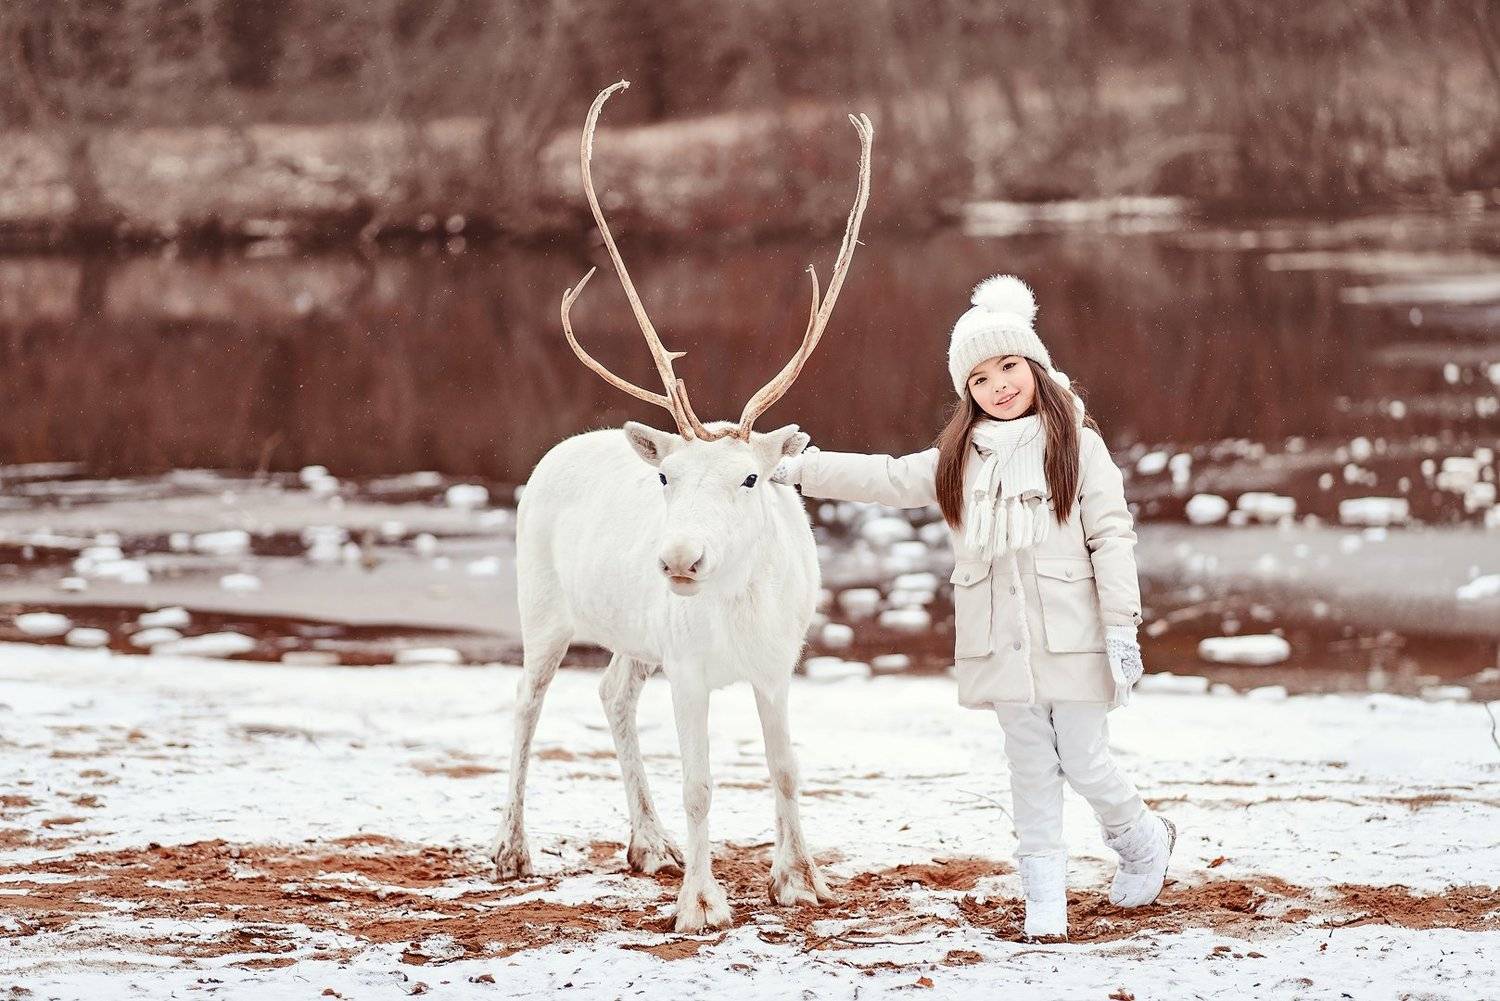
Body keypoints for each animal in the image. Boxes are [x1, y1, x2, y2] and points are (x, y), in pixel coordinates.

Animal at [490, 81, 873, 933]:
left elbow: (786, 769)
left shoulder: (777, 665)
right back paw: (512, 848)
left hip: (637, 638)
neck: (737, 608)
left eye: (751, 479)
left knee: (610, 692)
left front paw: (800, 879)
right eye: (667, 478)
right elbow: (702, 784)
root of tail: (551, 457)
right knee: (525, 706)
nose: (678, 559)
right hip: (543, 612)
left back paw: (649, 842)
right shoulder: (691, 670)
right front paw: (700, 902)